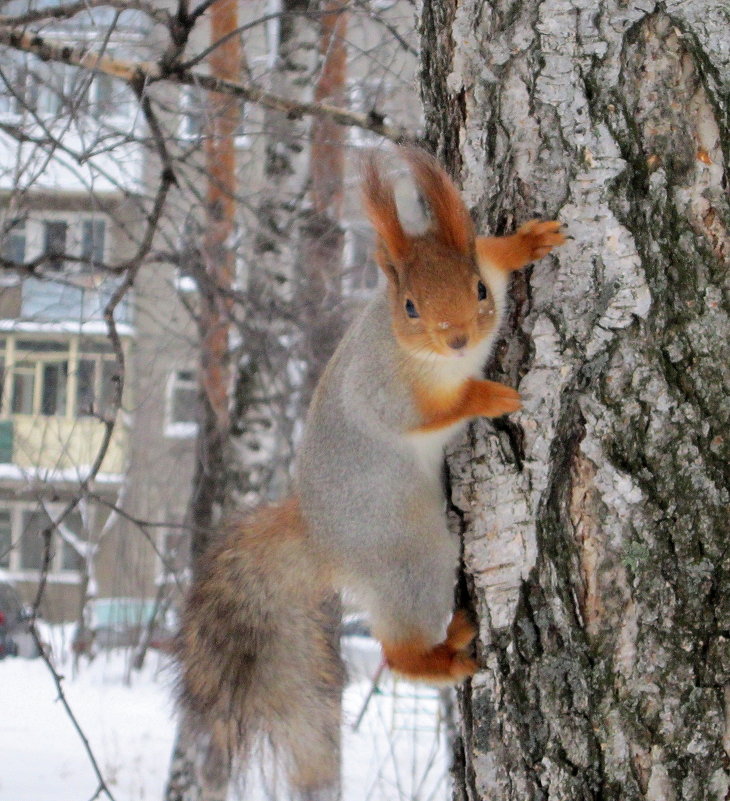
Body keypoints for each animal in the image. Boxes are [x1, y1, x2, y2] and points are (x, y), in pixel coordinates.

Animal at [176, 145, 564, 792]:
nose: (458, 339)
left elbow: (494, 250)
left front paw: (530, 240)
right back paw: (446, 653)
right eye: (409, 308)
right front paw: (486, 396)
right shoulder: (388, 391)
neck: (430, 356)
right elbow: (429, 412)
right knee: (395, 654)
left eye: (479, 290)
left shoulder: (481, 265)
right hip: (411, 559)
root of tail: (322, 539)